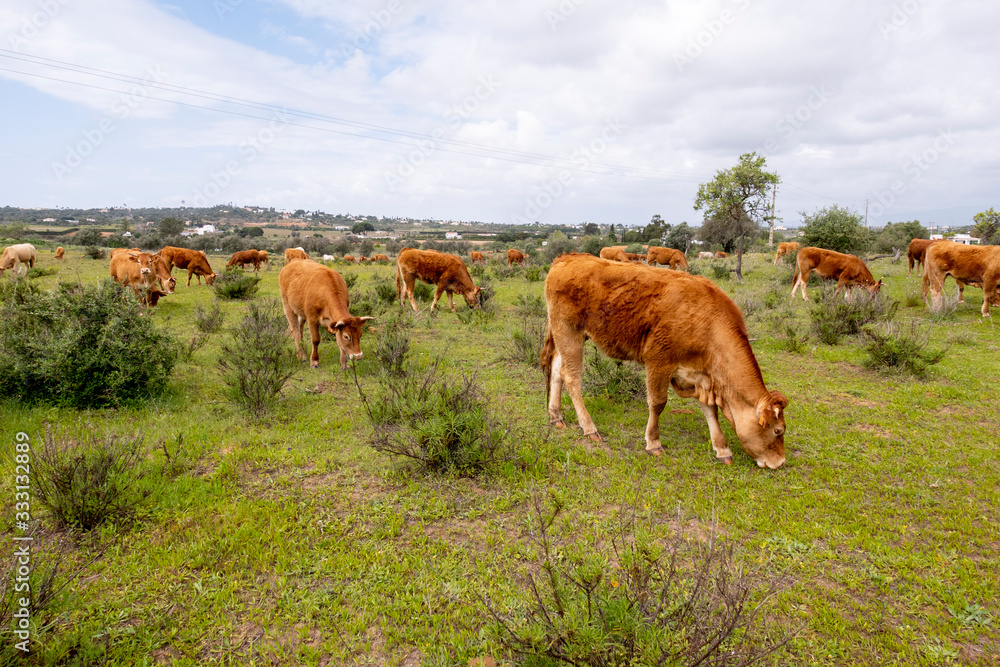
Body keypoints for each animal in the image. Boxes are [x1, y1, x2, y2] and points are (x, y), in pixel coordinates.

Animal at [541, 254, 788, 468]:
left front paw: (722, 449)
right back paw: (589, 427)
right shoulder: (659, 362)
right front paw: (654, 443)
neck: (707, 320)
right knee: (571, 377)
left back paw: (555, 415)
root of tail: (567, 258)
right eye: (778, 431)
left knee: (556, 370)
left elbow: (710, 410)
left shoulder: (702, 375)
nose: (780, 462)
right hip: (569, 332)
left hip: (567, 336)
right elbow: (658, 403)